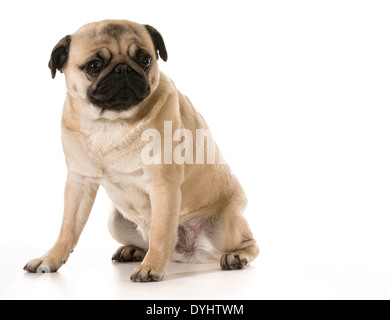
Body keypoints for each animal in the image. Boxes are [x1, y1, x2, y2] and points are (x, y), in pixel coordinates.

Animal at [23, 20, 258, 282]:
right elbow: (68, 229)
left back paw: (237, 256)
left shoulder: (163, 185)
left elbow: (161, 233)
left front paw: (152, 266)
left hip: (222, 226)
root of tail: (187, 253)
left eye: (145, 60)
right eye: (94, 66)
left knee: (249, 243)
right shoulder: (79, 183)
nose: (123, 69)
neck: (110, 123)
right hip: (116, 222)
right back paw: (133, 250)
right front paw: (50, 259)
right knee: (145, 240)